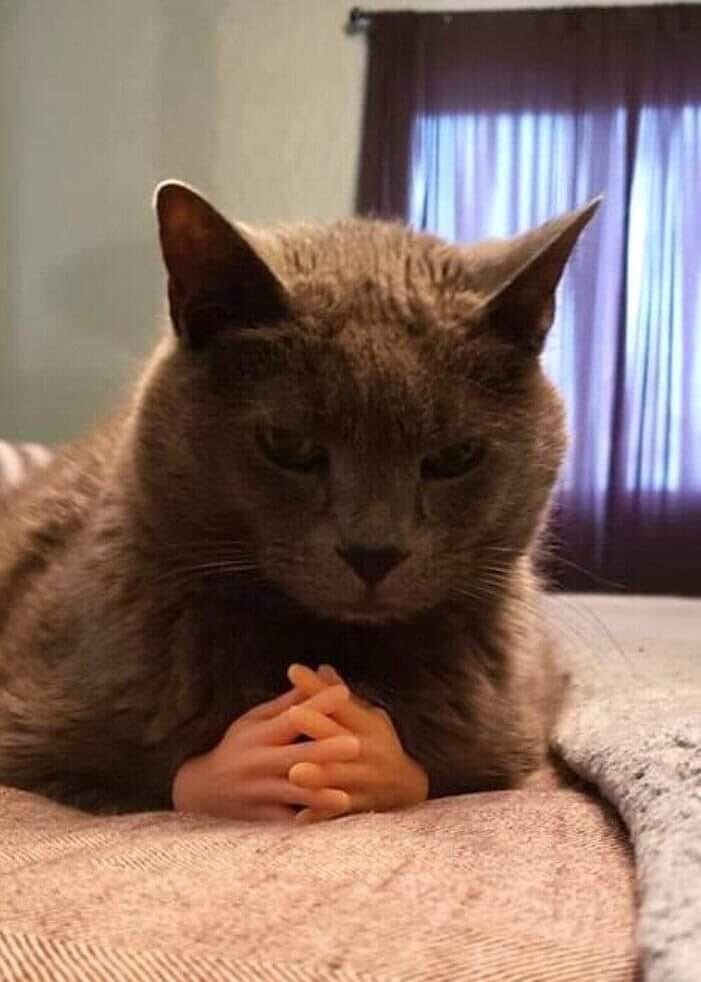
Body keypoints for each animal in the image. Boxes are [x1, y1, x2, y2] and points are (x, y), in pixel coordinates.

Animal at [0, 183, 596, 816]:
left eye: (456, 456)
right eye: (288, 445)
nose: (373, 551)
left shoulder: (512, 734)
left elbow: (438, 771)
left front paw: (363, 752)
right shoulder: (33, 734)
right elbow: (155, 782)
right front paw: (252, 760)